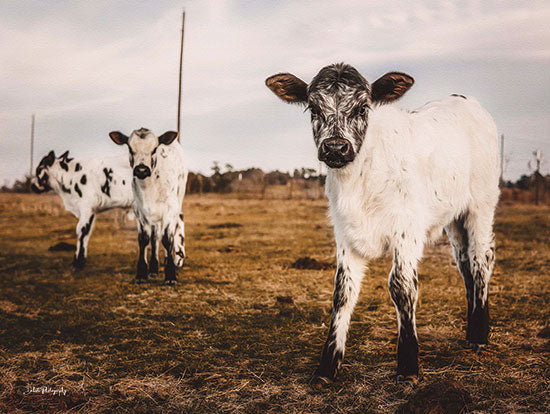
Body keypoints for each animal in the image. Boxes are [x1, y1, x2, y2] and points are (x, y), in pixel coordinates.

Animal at [109, 128, 189, 286]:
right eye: (130, 148)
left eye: (154, 149)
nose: (141, 170)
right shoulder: (139, 211)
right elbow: (144, 239)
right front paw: (141, 273)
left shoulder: (169, 210)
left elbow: (168, 239)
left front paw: (170, 275)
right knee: (155, 236)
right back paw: (153, 268)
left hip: (178, 199)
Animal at [266, 63, 502, 384]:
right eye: (313, 108)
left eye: (363, 107)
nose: (336, 148)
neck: (358, 179)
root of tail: (465, 100)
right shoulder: (345, 233)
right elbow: (342, 293)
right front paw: (327, 367)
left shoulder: (407, 231)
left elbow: (402, 287)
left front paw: (408, 365)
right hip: (454, 218)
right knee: (465, 264)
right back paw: (470, 331)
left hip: (480, 206)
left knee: (481, 260)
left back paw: (479, 336)